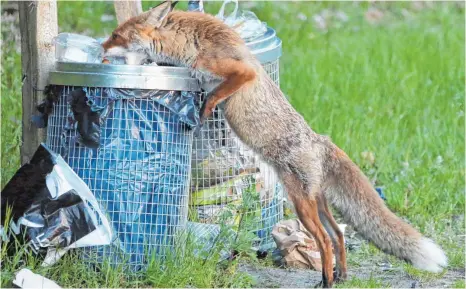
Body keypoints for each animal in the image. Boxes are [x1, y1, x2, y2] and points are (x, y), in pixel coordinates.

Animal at [102, 1, 448, 286]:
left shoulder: (240, 72)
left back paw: (326, 280)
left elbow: (214, 96)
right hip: (316, 201)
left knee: (324, 240)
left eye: (116, 35)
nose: (101, 50)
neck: (191, 44)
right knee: (338, 234)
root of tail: (320, 140)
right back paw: (342, 275)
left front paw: (202, 113)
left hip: (302, 204)